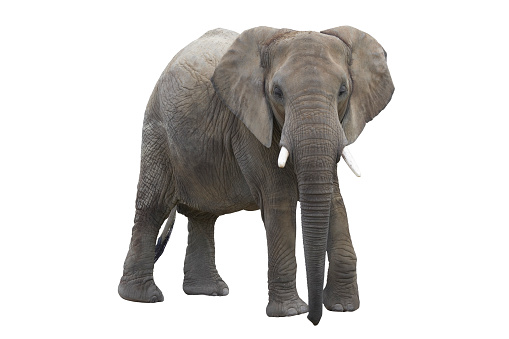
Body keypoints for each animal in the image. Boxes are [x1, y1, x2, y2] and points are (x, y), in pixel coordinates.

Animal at [119, 25, 392, 326]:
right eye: (277, 92)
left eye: (343, 90)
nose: (314, 319)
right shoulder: (249, 124)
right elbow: (279, 201)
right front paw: (291, 313)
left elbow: (334, 199)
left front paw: (344, 308)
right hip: (157, 132)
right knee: (153, 206)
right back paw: (143, 297)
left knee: (203, 215)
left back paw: (209, 291)